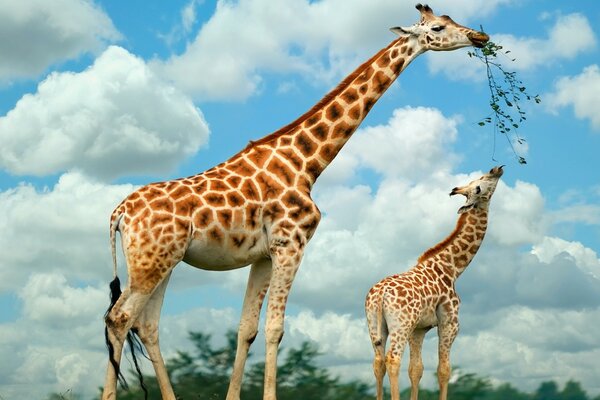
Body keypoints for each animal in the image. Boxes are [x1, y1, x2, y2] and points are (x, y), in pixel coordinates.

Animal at [102, 3, 488, 400]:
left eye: (452, 19)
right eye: (438, 28)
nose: (480, 36)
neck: (306, 164)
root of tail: (119, 214)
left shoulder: (263, 255)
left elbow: (247, 329)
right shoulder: (291, 244)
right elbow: (275, 328)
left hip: (163, 261)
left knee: (146, 325)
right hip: (152, 262)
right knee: (119, 318)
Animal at [364, 166, 504, 400]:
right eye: (478, 185)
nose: (497, 169)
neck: (453, 268)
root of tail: (380, 294)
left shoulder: (419, 329)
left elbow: (416, 369)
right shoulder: (450, 323)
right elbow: (444, 369)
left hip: (375, 325)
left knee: (378, 363)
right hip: (400, 325)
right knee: (393, 359)